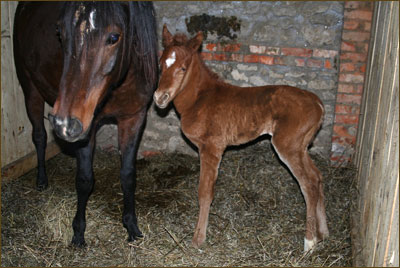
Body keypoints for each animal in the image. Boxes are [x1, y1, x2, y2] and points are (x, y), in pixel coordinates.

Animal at [14, 1, 158, 247]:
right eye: (59, 33)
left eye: (114, 37)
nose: (63, 122)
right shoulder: (86, 129)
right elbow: (84, 180)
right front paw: (78, 232)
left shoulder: (134, 119)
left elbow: (128, 175)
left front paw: (131, 226)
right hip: (30, 89)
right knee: (39, 136)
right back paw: (41, 180)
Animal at [153, 25, 328, 251]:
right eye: (160, 64)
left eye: (183, 68)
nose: (160, 98)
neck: (200, 99)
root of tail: (317, 103)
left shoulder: (211, 147)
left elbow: (205, 193)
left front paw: (198, 239)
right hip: (301, 147)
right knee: (317, 177)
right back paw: (324, 233)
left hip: (287, 146)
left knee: (308, 184)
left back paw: (309, 242)